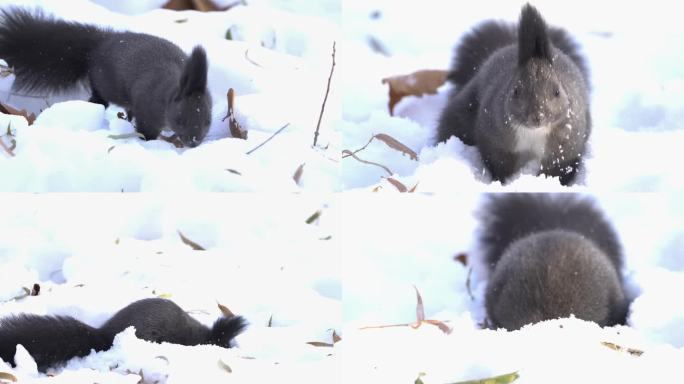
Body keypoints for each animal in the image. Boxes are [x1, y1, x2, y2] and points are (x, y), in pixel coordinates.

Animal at [0, 8, 212, 148]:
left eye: (208, 121)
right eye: (180, 119)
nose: (194, 142)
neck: (168, 92)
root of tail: (100, 42)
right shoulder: (148, 111)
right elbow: (146, 130)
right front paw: (148, 142)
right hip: (105, 83)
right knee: (99, 96)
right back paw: (95, 104)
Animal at [440, 4, 592, 184]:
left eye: (557, 92)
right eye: (516, 91)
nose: (537, 117)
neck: (534, 132)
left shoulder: (566, 143)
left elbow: (558, 168)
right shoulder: (494, 135)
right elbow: (498, 162)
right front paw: (503, 182)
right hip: (463, 111)